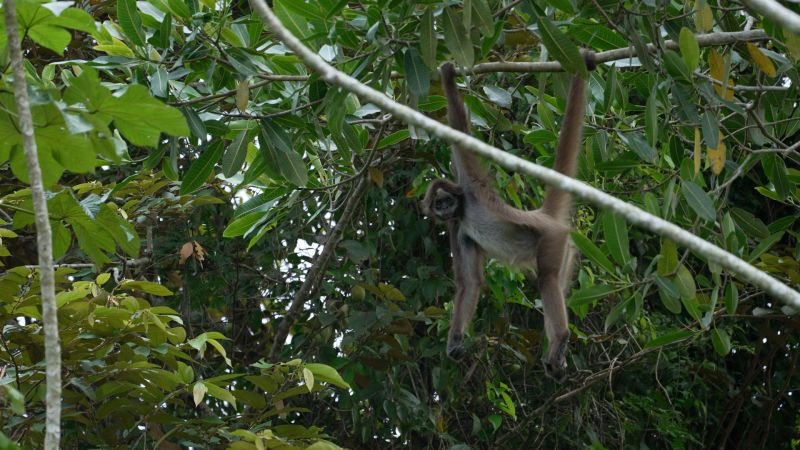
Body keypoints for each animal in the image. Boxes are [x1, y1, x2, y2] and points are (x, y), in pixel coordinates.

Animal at [422, 53, 595, 380]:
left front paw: (448, 77)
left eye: (445, 200)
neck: (465, 210)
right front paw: (455, 341)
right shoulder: (457, 228)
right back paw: (556, 355)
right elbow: (470, 283)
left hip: (552, 240)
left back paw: (561, 338)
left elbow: (459, 134)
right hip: (567, 250)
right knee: (557, 283)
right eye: (438, 204)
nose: (444, 208)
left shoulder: (470, 185)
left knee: (547, 279)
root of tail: (544, 215)